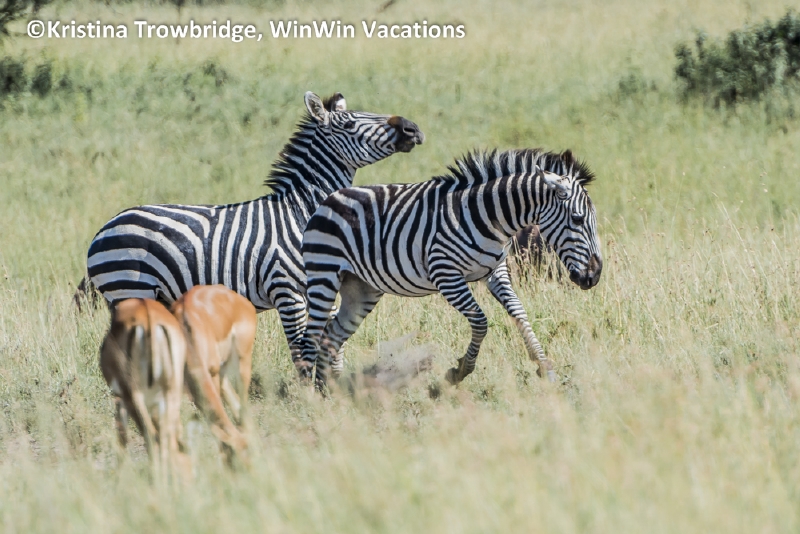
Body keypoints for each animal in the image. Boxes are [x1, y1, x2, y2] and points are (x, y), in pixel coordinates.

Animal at [85, 91, 424, 364]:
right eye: (349, 124)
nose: (413, 128)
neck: (300, 214)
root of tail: (104, 228)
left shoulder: (321, 286)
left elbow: (331, 343)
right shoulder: (287, 290)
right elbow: (301, 349)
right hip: (130, 288)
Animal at [100, 298, 189, 483]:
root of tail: (148, 317)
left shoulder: (121, 400)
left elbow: (122, 437)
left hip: (135, 396)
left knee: (152, 438)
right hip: (172, 391)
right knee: (167, 438)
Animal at [298, 148, 601, 386]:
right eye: (577, 219)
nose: (594, 276)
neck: (490, 217)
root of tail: (329, 199)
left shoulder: (496, 272)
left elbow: (519, 313)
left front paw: (543, 366)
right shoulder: (446, 274)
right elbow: (480, 321)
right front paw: (460, 371)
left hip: (361, 289)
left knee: (331, 335)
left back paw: (332, 390)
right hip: (324, 275)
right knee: (311, 336)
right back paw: (308, 395)